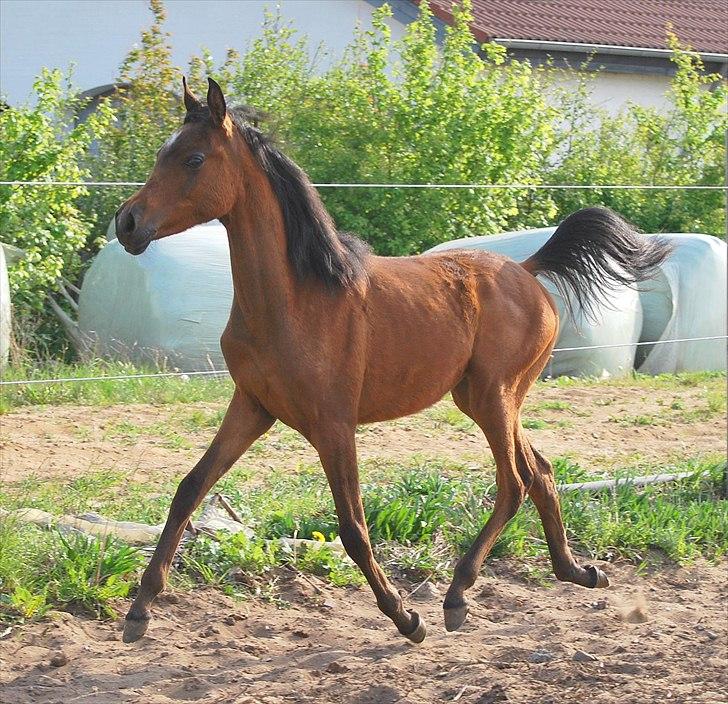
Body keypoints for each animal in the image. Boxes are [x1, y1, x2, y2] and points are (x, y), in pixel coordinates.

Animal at [115, 77, 672, 644]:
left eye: (193, 158)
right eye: (163, 154)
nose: (127, 222)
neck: (294, 299)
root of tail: (528, 268)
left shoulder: (333, 424)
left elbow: (352, 527)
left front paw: (405, 617)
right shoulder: (252, 407)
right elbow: (188, 490)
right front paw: (139, 611)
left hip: (494, 396)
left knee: (513, 482)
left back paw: (458, 594)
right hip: (485, 398)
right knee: (539, 470)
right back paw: (576, 570)